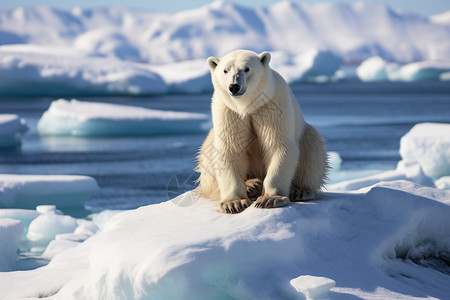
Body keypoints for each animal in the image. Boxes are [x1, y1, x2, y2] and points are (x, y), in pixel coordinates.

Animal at [197, 49, 326, 213]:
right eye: (225, 70)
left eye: (246, 69)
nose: (234, 87)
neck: (248, 106)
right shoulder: (228, 110)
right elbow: (230, 148)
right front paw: (232, 203)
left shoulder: (272, 104)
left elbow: (278, 145)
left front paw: (270, 198)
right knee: (207, 154)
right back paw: (251, 184)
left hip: (307, 136)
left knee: (313, 149)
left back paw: (300, 190)